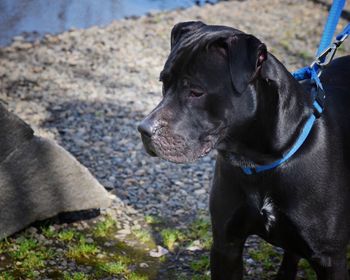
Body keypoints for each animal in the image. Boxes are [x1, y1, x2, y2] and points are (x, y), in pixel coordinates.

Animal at [137, 21, 350, 278]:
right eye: (163, 82)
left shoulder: (329, 258)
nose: (144, 130)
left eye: (196, 91)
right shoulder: (226, 244)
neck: (259, 161)